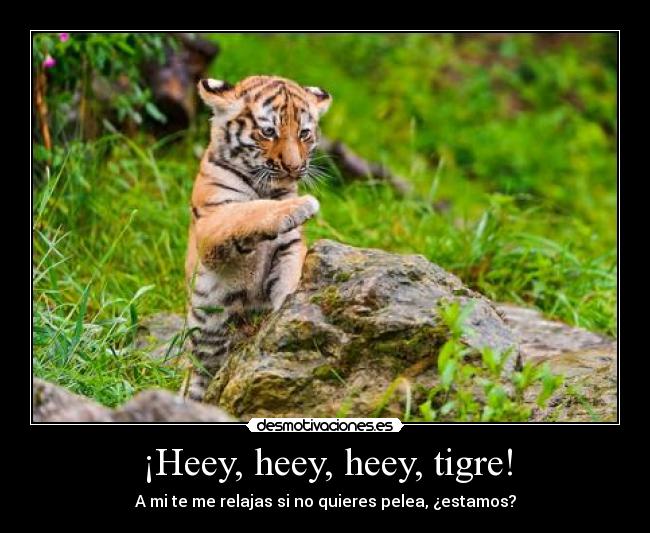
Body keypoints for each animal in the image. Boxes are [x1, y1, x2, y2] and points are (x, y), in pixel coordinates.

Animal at [181, 75, 332, 401]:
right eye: (268, 131)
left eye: (304, 133)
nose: (294, 167)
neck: (267, 188)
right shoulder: (212, 224)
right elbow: (247, 212)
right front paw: (299, 206)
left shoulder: (289, 247)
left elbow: (290, 277)